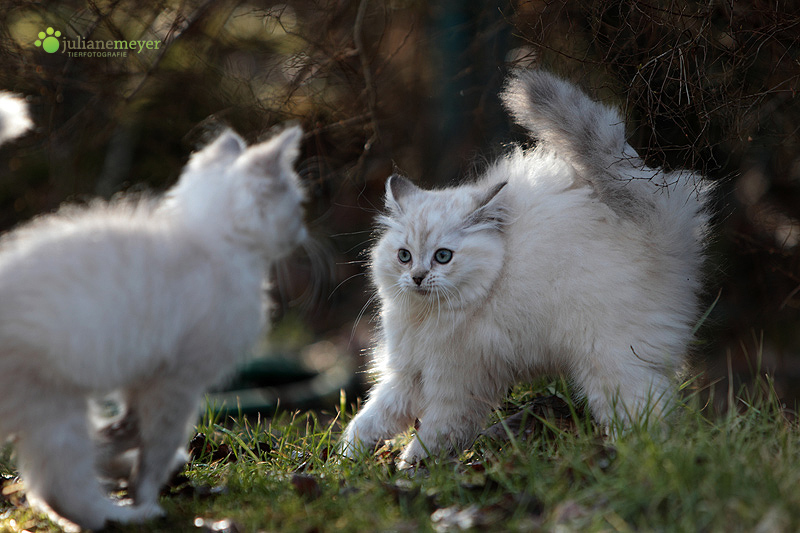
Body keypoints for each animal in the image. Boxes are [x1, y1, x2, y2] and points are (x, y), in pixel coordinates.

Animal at [0, 98, 306, 528]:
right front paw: (143, 489)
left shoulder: (146, 377)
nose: (303, 232)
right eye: (298, 206)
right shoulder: (177, 382)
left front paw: (113, 452)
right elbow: (155, 448)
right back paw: (130, 516)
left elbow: (128, 430)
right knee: (62, 489)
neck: (212, 241)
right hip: (52, 405)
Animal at [342, 69, 712, 466]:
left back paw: (636, 458)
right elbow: (371, 418)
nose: (417, 277)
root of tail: (660, 227)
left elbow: (436, 436)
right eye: (404, 256)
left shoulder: (457, 386)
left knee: (649, 418)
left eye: (443, 256)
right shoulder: (407, 373)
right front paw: (345, 457)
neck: (429, 317)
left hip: (611, 363)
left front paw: (411, 467)